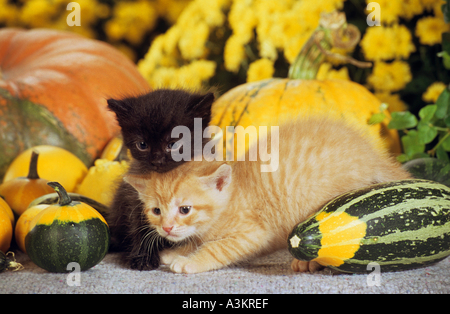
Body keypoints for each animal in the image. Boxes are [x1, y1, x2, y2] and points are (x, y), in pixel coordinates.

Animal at [107, 89, 216, 270]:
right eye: (142, 145)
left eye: (173, 144)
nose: (156, 160)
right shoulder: (134, 199)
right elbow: (141, 227)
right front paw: (143, 258)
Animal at [124, 116, 412, 274]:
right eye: (156, 211)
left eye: (185, 209)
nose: (167, 228)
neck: (235, 193)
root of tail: (370, 154)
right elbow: (197, 241)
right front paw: (179, 251)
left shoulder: (252, 233)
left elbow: (217, 248)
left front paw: (190, 261)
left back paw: (309, 264)